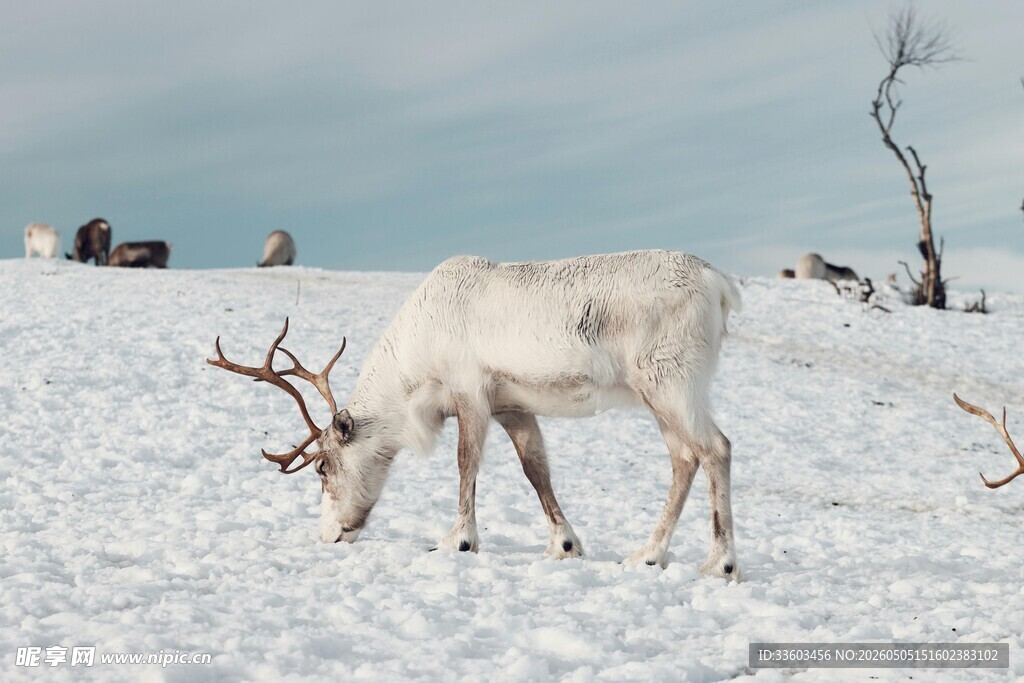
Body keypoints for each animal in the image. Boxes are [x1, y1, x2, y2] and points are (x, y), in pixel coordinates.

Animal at [208, 250, 743, 580]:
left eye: (322, 466)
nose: (329, 535)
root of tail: (719, 284)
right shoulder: (513, 406)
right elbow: (536, 470)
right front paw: (564, 545)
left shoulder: (470, 394)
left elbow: (466, 464)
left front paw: (458, 540)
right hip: (659, 394)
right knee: (684, 459)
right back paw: (648, 555)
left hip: (670, 382)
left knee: (716, 448)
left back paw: (721, 563)